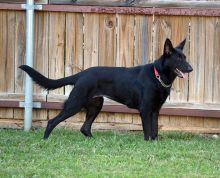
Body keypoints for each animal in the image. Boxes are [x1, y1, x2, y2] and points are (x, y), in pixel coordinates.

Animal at [20, 38, 192, 140]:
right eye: (178, 59)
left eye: (185, 58)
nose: (190, 68)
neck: (158, 77)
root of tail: (81, 74)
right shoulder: (145, 110)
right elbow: (148, 132)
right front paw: (148, 144)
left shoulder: (155, 110)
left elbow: (155, 130)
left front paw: (154, 143)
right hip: (74, 104)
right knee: (52, 121)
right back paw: (45, 140)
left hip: (96, 105)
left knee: (84, 128)